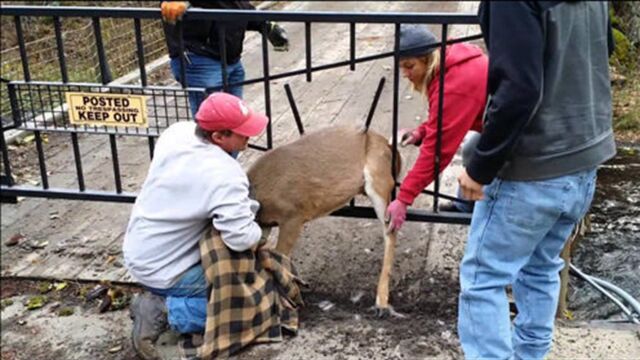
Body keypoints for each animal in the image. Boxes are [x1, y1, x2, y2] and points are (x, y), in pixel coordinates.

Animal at [248, 79, 402, 318]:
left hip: (379, 179)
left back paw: (382, 302)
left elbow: (280, 256)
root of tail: (389, 146)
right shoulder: (266, 224)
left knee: (390, 231)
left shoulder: (293, 215)